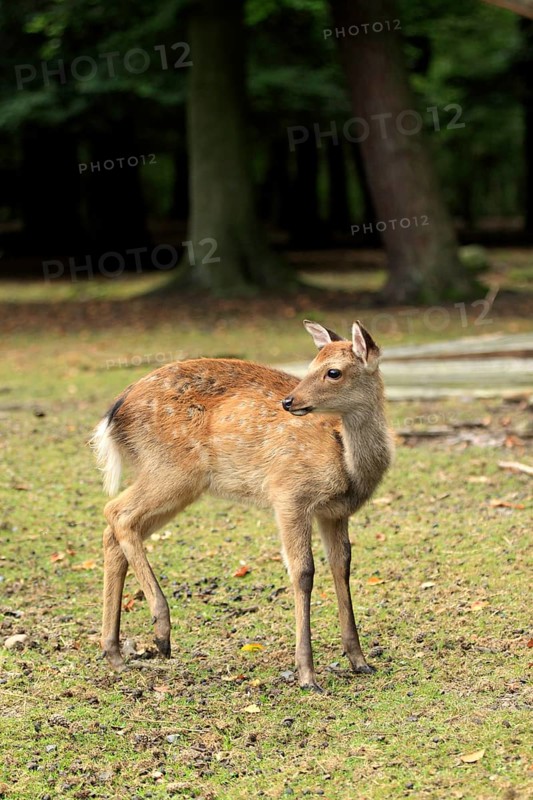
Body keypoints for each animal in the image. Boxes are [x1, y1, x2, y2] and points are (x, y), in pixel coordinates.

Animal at [91, 319, 393, 691]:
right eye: (311, 365)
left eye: (333, 371)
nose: (289, 401)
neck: (346, 463)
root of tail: (113, 414)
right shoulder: (289, 493)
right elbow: (303, 572)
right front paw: (306, 674)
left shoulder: (335, 513)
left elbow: (342, 567)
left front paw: (360, 661)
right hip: (171, 470)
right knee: (116, 512)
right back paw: (161, 631)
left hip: (177, 481)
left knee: (116, 530)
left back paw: (115, 653)